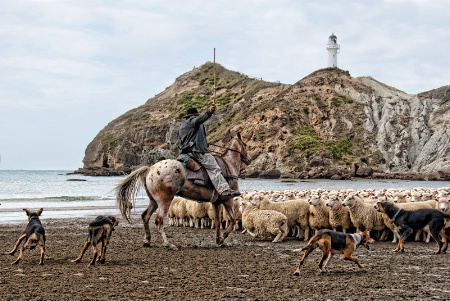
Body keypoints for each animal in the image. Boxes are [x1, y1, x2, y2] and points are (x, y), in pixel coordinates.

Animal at [114, 130, 251, 250]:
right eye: (245, 145)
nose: (249, 159)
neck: (229, 164)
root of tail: (150, 169)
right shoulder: (228, 200)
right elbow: (232, 220)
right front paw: (223, 237)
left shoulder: (216, 202)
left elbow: (217, 221)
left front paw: (218, 240)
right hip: (165, 201)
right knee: (159, 220)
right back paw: (168, 244)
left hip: (154, 201)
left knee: (145, 216)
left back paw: (147, 240)